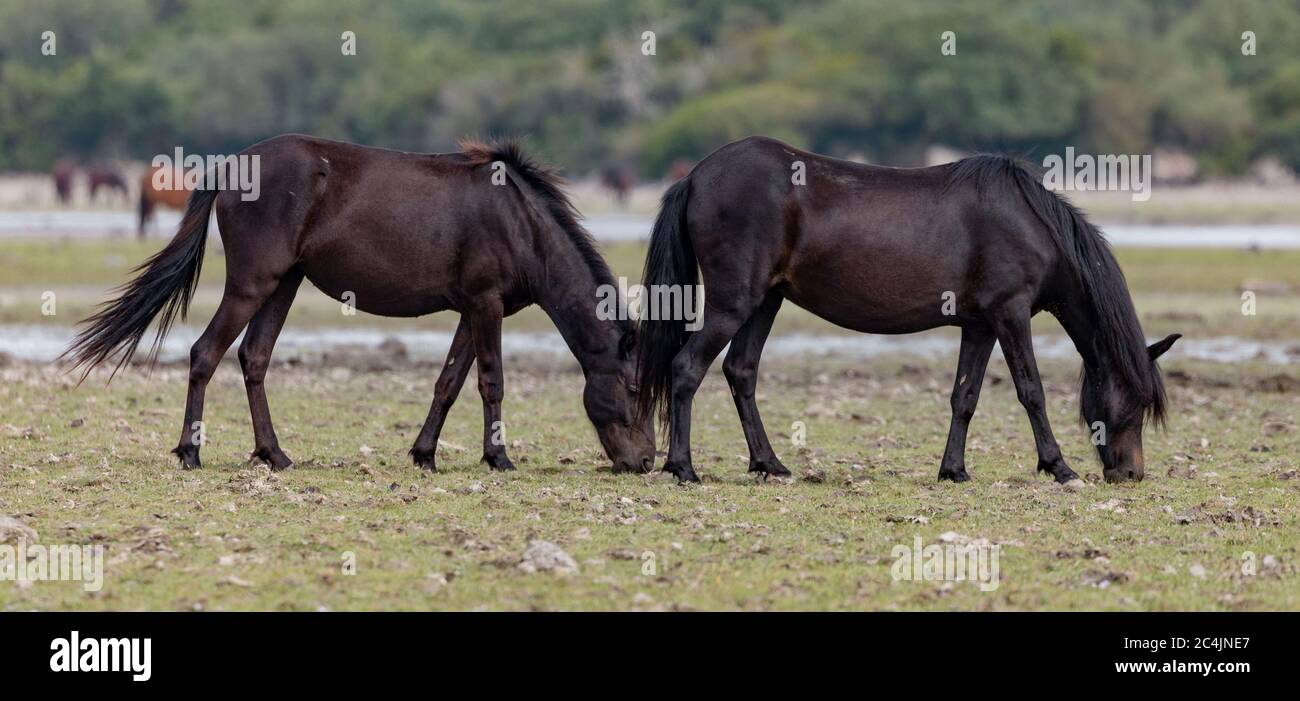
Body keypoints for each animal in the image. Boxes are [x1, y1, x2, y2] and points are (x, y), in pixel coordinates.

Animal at [65, 135, 655, 478]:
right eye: (632, 389)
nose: (646, 461)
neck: (521, 223)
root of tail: (231, 166)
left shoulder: (472, 309)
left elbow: (449, 381)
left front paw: (424, 454)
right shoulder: (486, 305)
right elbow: (492, 381)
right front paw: (499, 457)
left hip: (285, 283)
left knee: (254, 358)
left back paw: (274, 454)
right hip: (254, 283)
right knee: (205, 353)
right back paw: (190, 452)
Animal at [637, 138, 1180, 489]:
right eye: (1136, 401)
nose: (1130, 473)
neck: (1029, 222)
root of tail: (695, 177)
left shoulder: (980, 326)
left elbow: (965, 397)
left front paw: (954, 470)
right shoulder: (1011, 315)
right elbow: (1032, 392)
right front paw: (1058, 467)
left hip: (765, 301)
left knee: (740, 371)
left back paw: (769, 464)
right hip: (733, 304)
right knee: (687, 368)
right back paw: (683, 468)